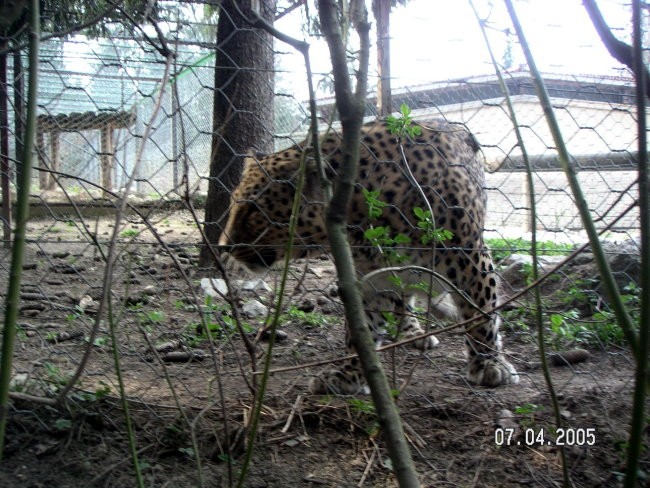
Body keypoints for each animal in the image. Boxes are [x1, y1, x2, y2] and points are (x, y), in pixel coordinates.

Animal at [220, 120, 520, 394]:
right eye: (233, 204)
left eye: (253, 211)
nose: (223, 247)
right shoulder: (370, 278)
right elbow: (363, 328)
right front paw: (349, 375)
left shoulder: (470, 257)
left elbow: (481, 313)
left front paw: (489, 365)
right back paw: (412, 332)